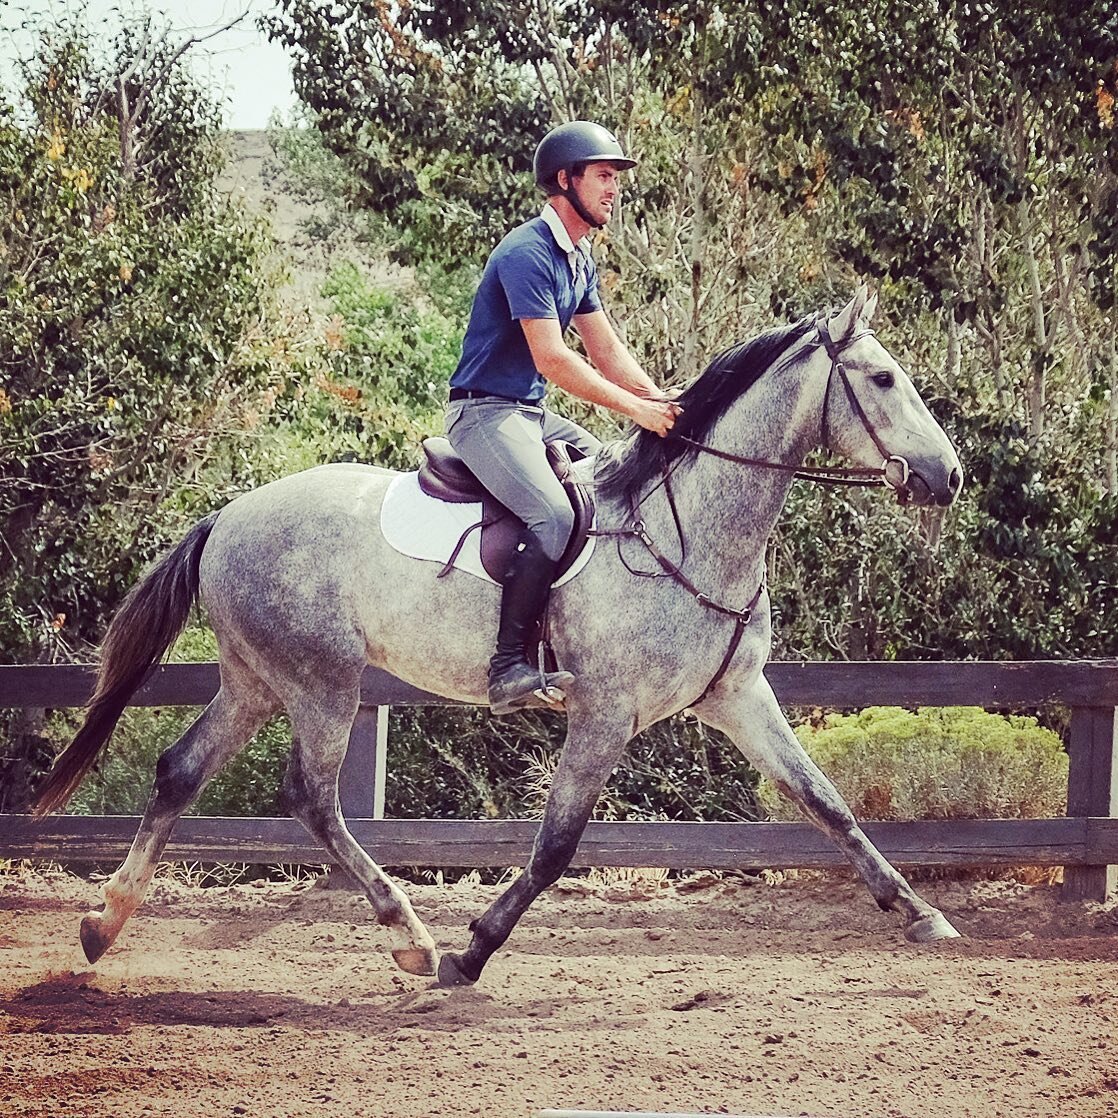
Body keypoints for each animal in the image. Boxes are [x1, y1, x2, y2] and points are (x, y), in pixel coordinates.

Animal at [34, 288, 961, 988]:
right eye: (883, 377)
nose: (947, 477)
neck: (691, 529)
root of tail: (227, 516)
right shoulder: (604, 714)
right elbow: (555, 848)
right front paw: (473, 951)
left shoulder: (736, 696)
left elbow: (827, 802)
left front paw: (921, 913)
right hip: (322, 683)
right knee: (310, 797)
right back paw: (410, 938)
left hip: (257, 680)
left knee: (181, 771)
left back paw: (102, 924)